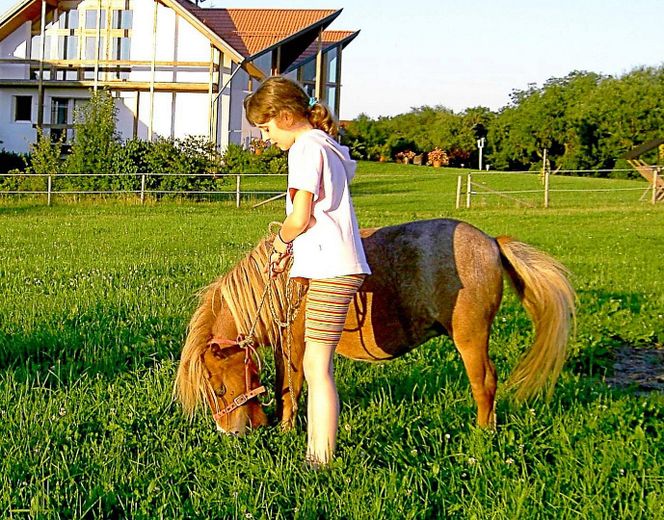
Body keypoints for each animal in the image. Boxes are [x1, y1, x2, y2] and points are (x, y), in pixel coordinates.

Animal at [174, 218, 575, 434]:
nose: (230, 432)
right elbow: (283, 384)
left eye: (218, 388)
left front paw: (287, 428)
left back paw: (482, 431)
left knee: (485, 381)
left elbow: (292, 386)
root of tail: (491, 242)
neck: (280, 282)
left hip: (471, 338)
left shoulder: (296, 341)